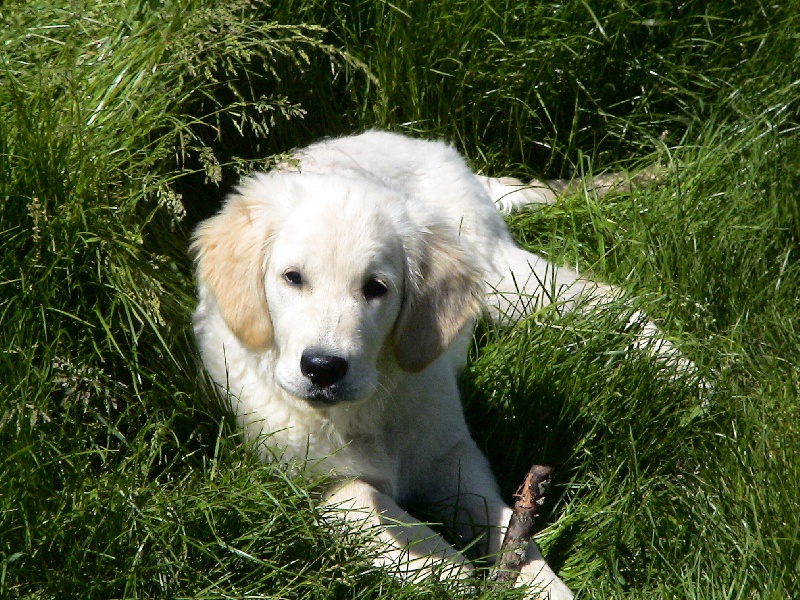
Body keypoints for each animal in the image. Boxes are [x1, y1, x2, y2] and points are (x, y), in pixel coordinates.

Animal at [191, 130, 680, 596]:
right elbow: (396, 527)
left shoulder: (451, 454)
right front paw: (455, 574)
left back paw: (680, 370)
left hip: (504, 281)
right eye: (292, 278)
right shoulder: (314, 484)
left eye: (376, 288)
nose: (322, 368)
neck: (365, 409)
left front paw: (541, 585)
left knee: (610, 296)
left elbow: (511, 530)